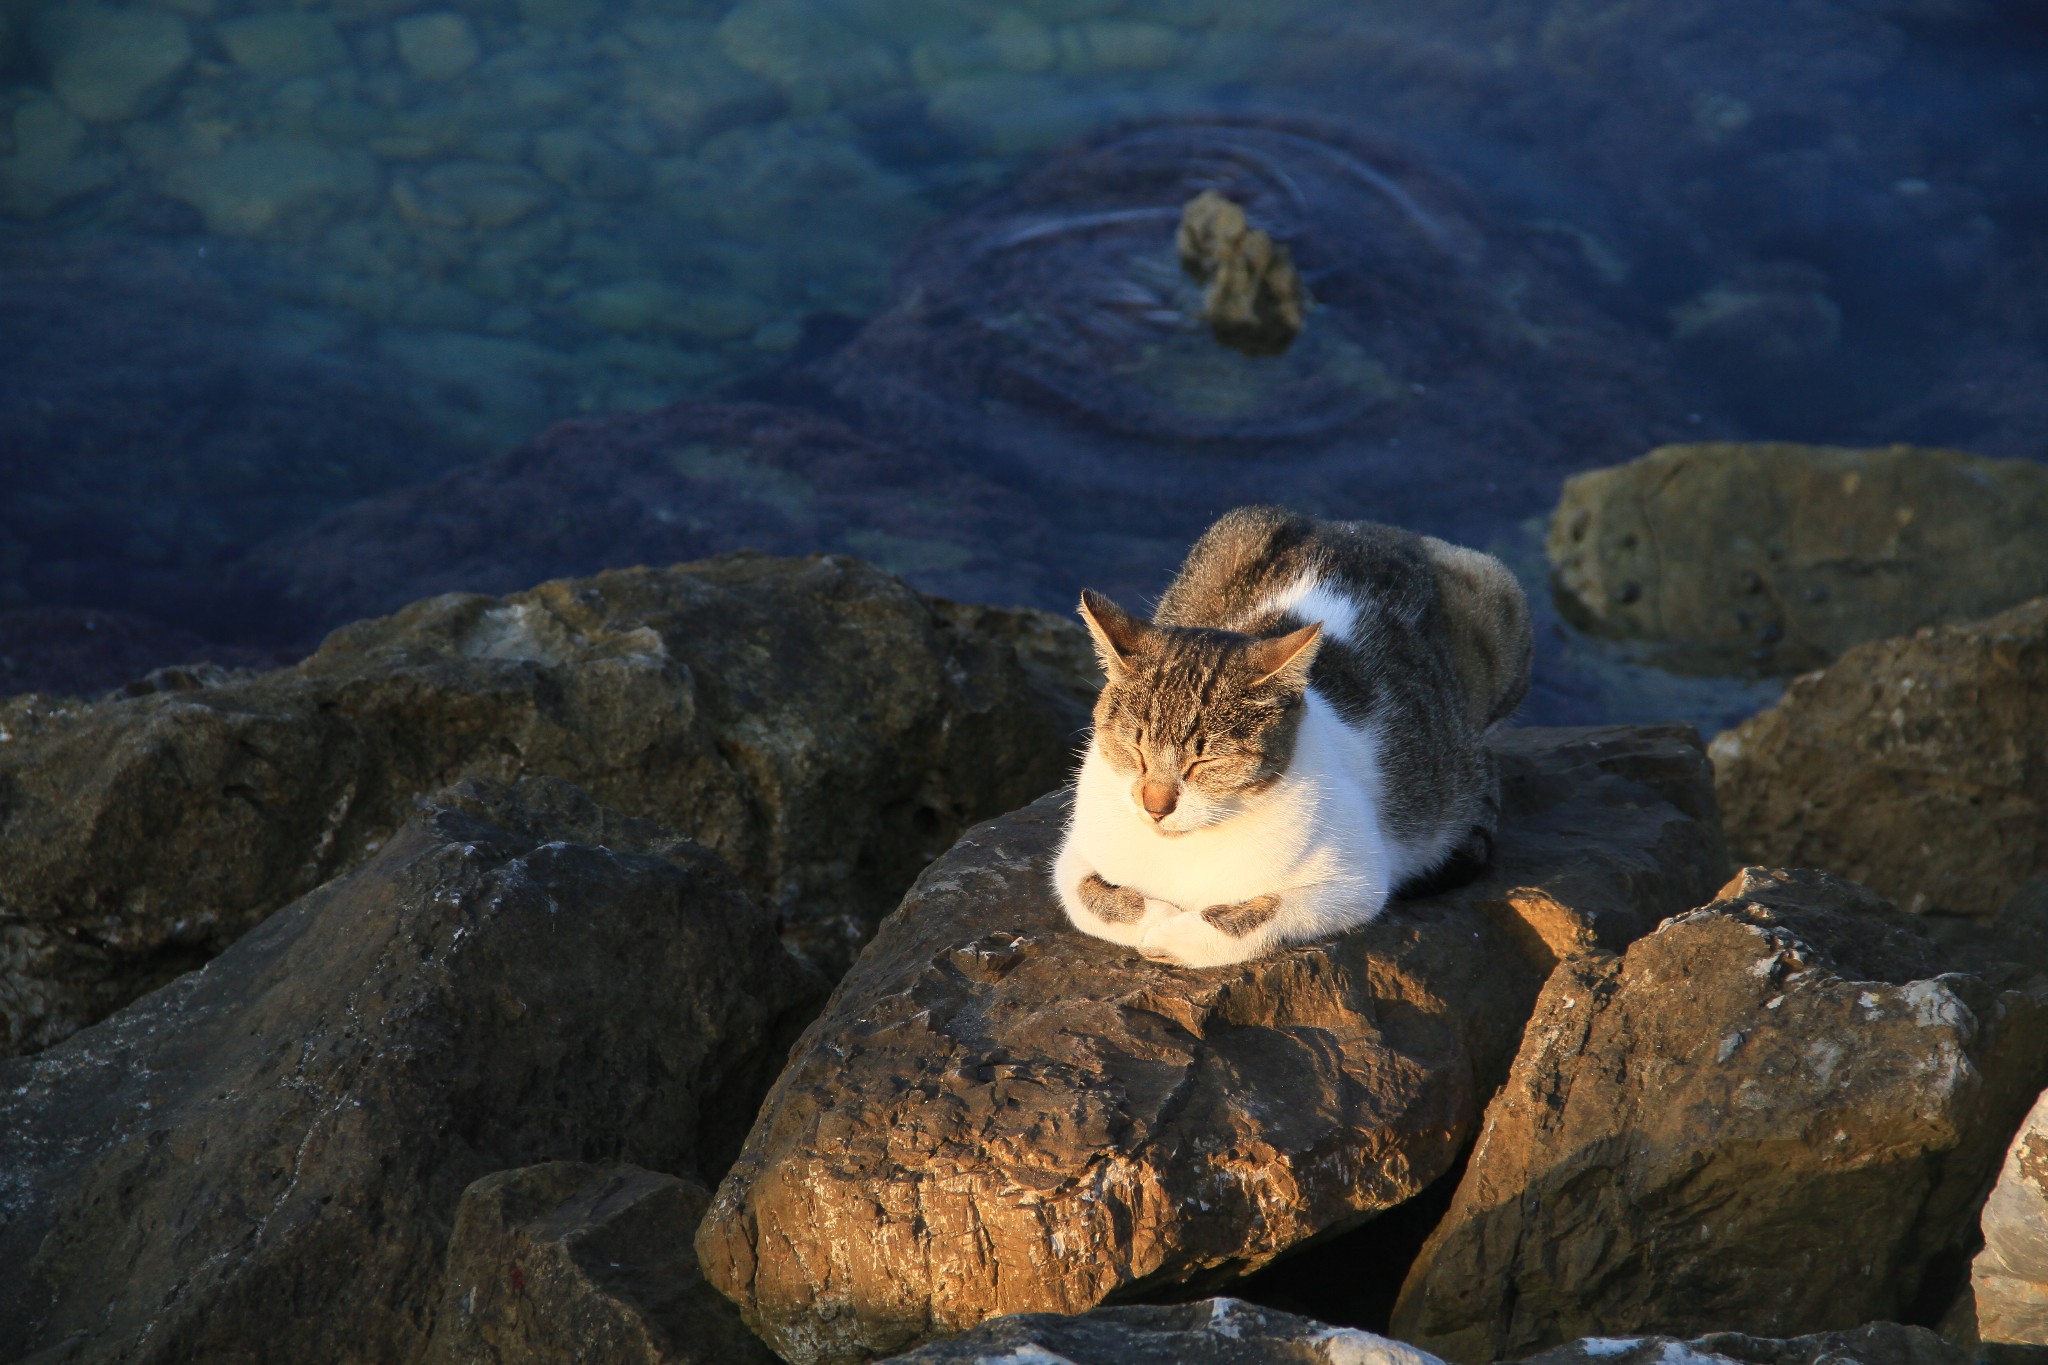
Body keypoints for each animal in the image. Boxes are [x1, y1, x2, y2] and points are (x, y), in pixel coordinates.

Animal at [1056, 507, 1540, 965]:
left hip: (1500, 596)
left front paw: (1178, 935)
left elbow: (1267, 913)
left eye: (1208, 761)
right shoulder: (1075, 851)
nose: (1155, 807)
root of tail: (1357, 527)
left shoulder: (1356, 880)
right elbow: (1084, 897)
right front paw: (1152, 917)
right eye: (1134, 749)